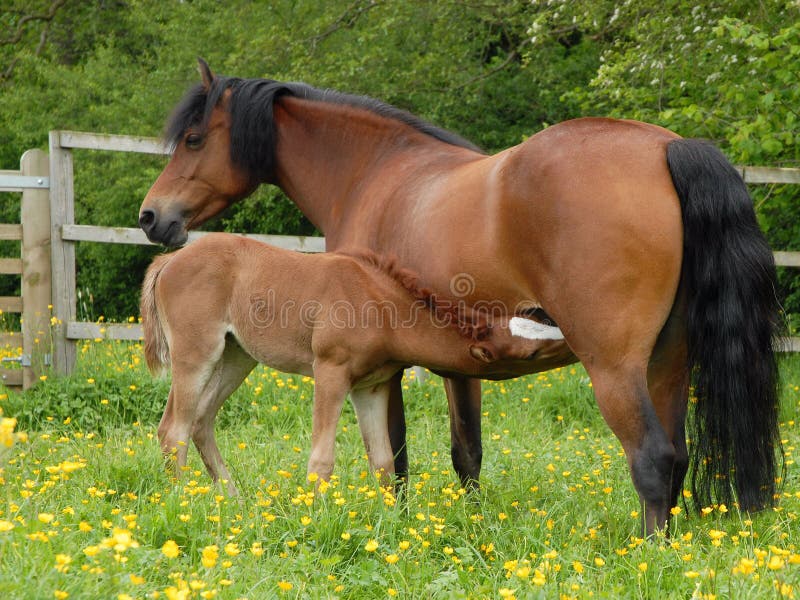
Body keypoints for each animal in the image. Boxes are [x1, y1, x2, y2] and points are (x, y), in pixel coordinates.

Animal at [141, 233, 552, 492]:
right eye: (530, 353)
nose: (559, 328)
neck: (381, 307)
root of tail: (169, 259)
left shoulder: (371, 386)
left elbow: (384, 462)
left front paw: (390, 528)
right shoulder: (330, 371)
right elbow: (321, 460)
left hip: (236, 357)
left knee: (200, 422)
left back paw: (234, 503)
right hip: (196, 354)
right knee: (173, 430)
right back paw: (185, 505)